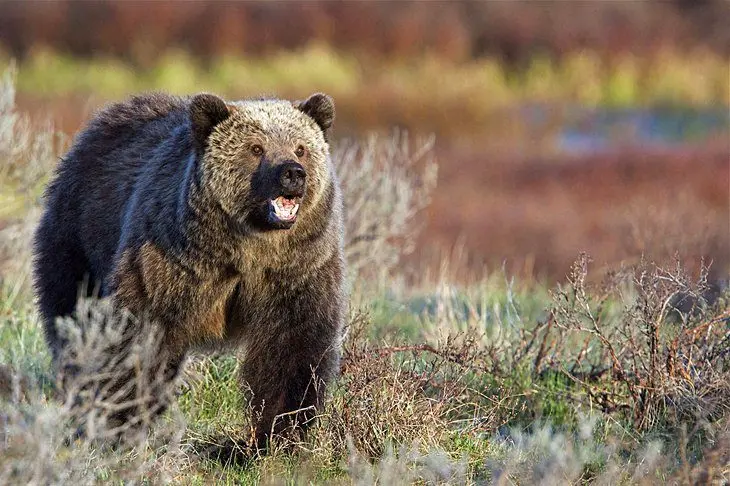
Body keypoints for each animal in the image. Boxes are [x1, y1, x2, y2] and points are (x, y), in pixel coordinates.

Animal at [35, 90, 348, 448]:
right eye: (256, 148)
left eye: (301, 148)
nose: (293, 173)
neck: (246, 248)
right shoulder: (173, 262)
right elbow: (141, 334)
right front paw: (119, 421)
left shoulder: (297, 270)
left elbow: (293, 347)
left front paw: (277, 434)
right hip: (78, 238)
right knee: (73, 315)